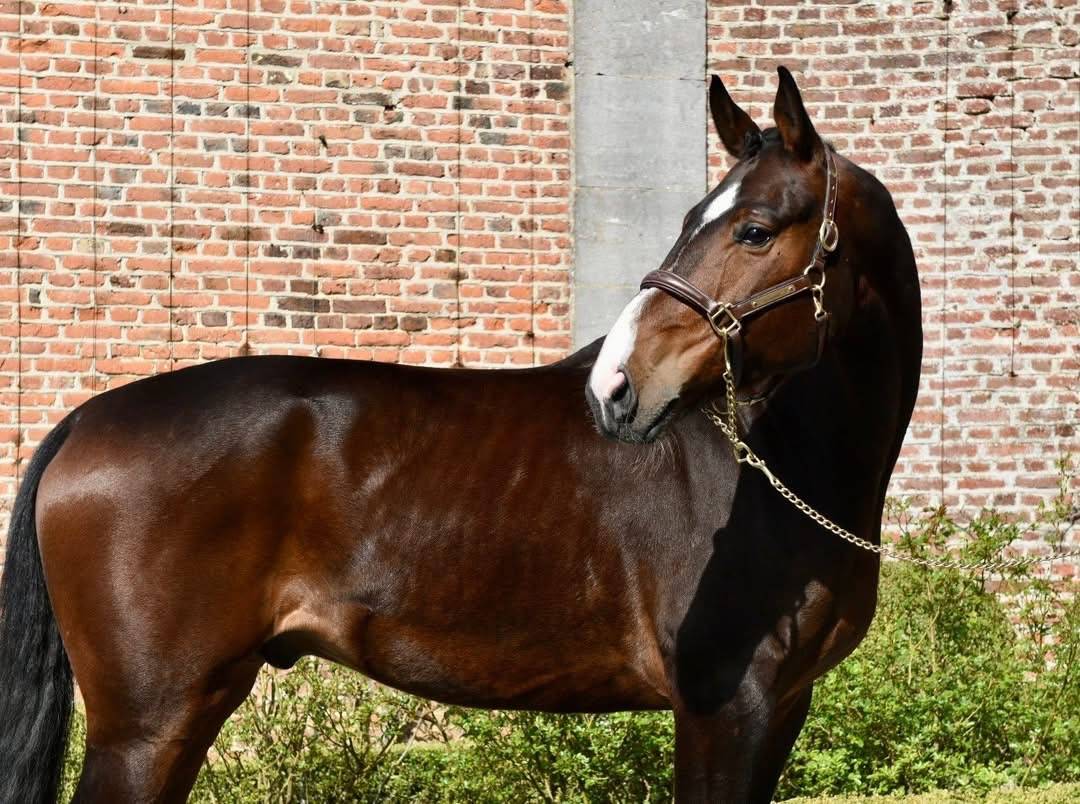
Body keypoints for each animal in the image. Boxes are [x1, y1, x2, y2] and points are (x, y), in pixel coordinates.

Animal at [0, 67, 922, 803]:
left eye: (755, 228)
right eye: (697, 217)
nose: (616, 386)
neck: (776, 460)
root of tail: (84, 419)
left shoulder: (779, 707)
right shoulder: (722, 707)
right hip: (148, 725)